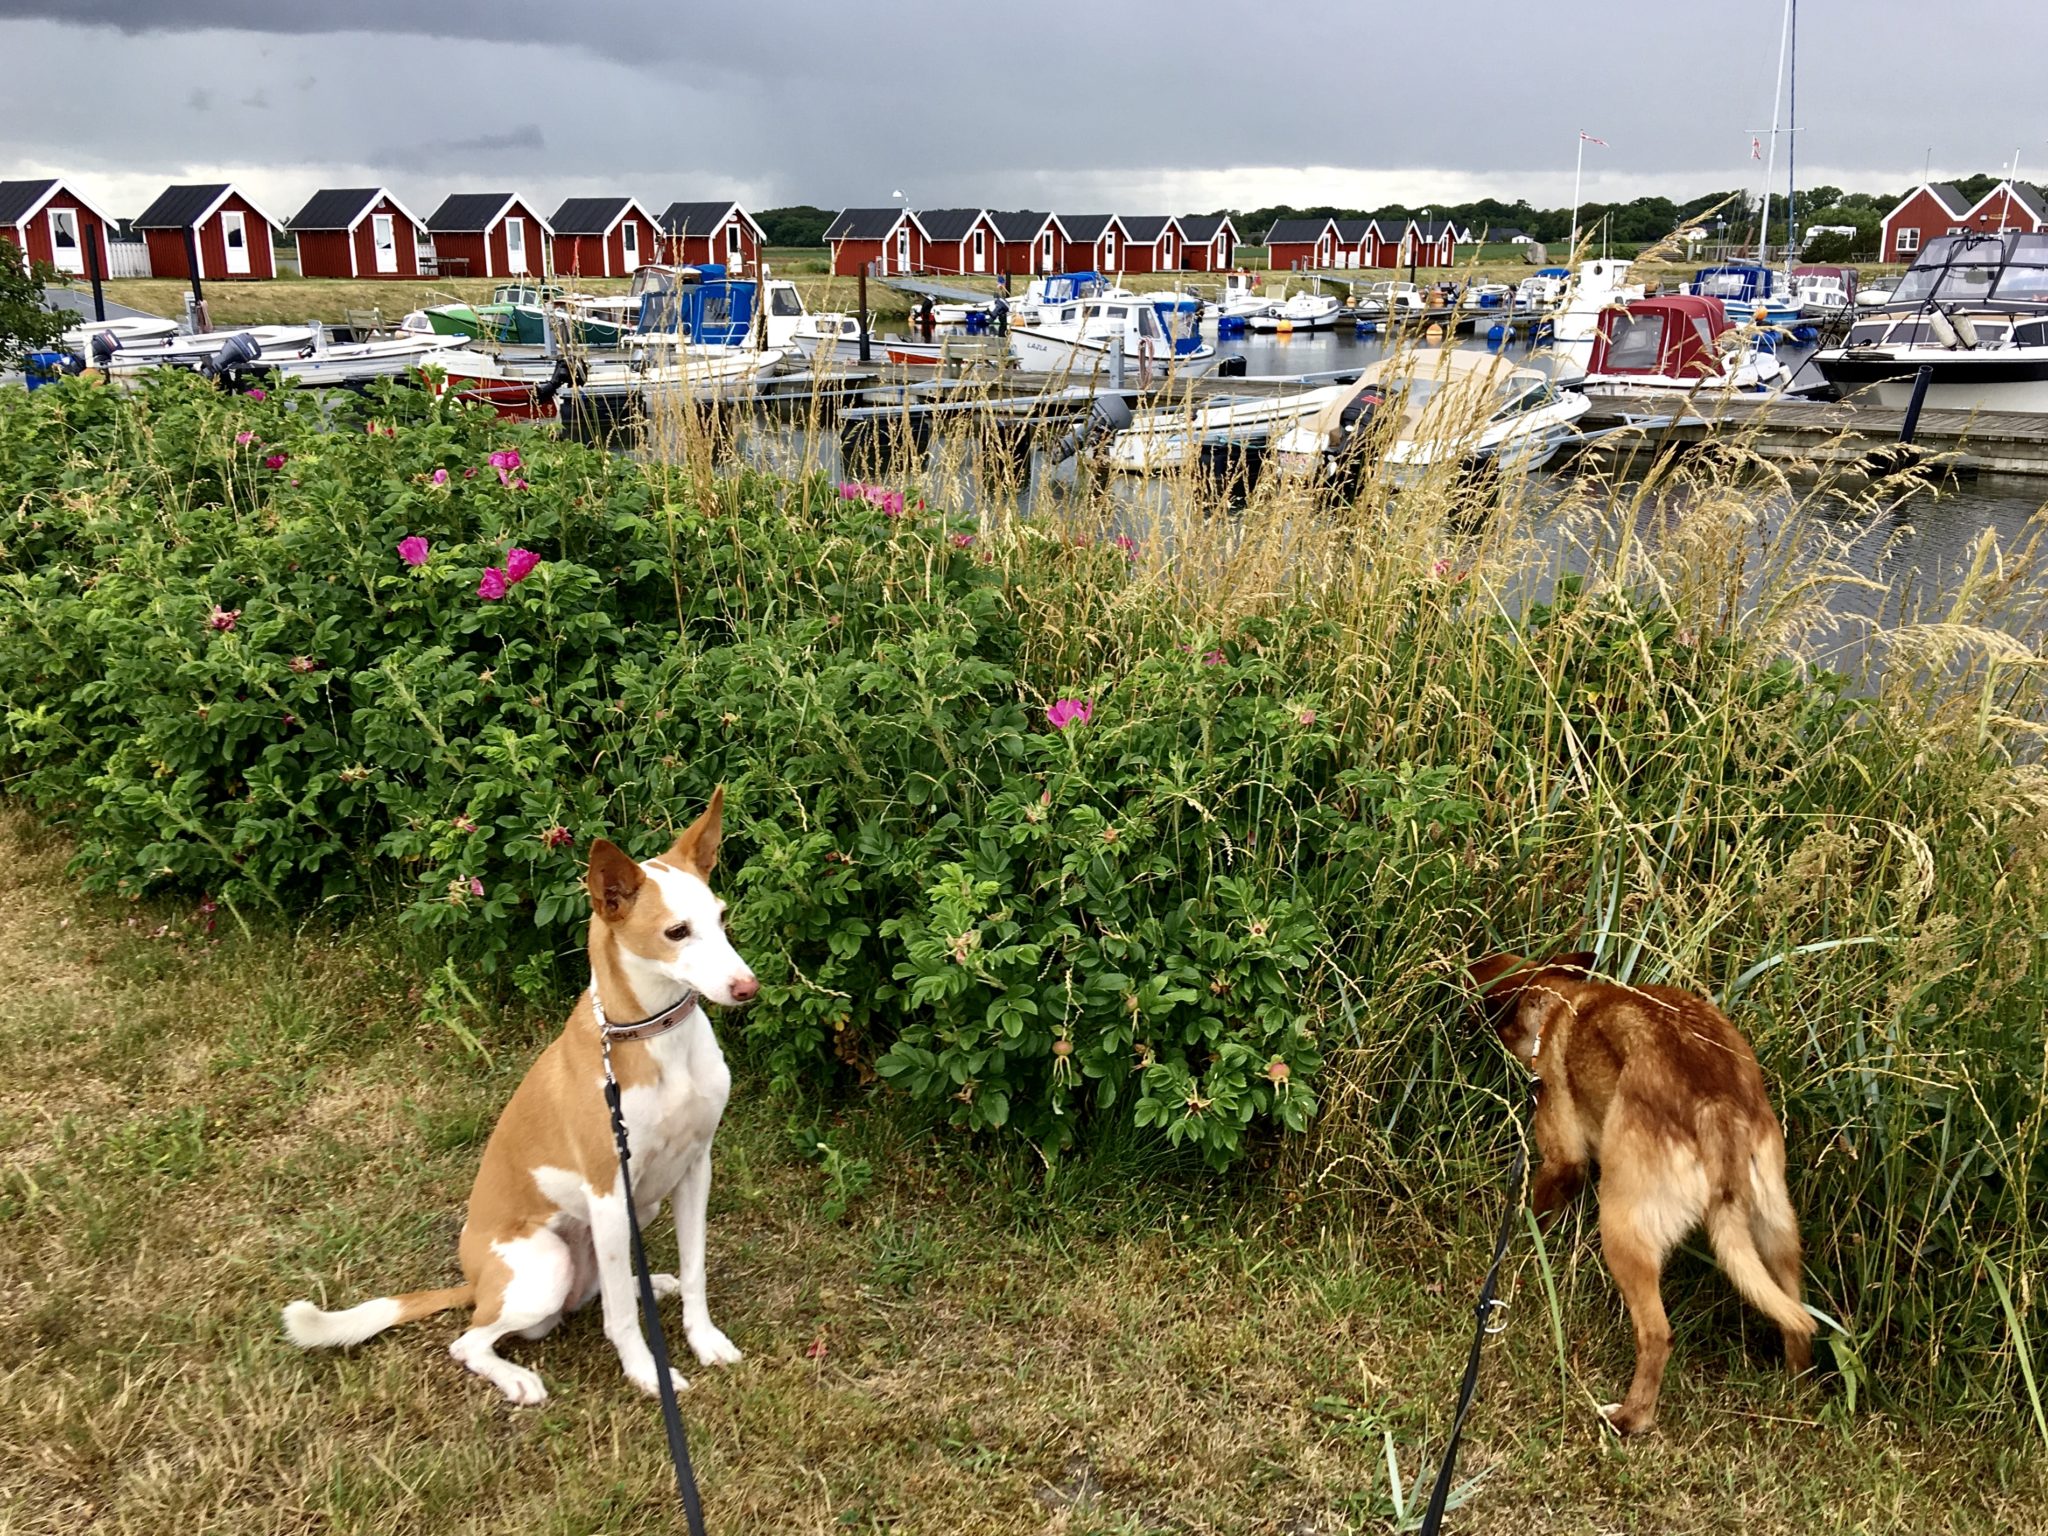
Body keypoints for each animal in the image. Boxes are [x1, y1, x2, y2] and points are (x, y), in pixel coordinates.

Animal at [286, 794, 761, 1409]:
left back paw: (651, 1282)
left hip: (635, 1216)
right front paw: (647, 1374)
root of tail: (475, 1283)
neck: (653, 1038)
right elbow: (621, 1320)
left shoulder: (695, 1166)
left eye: (722, 918)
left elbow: (696, 1271)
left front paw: (704, 1340)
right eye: (677, 932)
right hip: (548, 1265)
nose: (748, 988)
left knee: (598, 1292)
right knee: (474, 1339)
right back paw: (515, 1376)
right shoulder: (610, 1192)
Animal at [1466, 958, 1818, 1441]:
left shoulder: (1563, 1157)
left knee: (1656, 1333)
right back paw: (1796, 1390)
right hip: (1777, 1233)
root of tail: (1718, 1110)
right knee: (1795, 1321)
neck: (1560, 1001)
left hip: (1623, 1231)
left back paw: (1630, 1418)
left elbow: (1534, 1211)